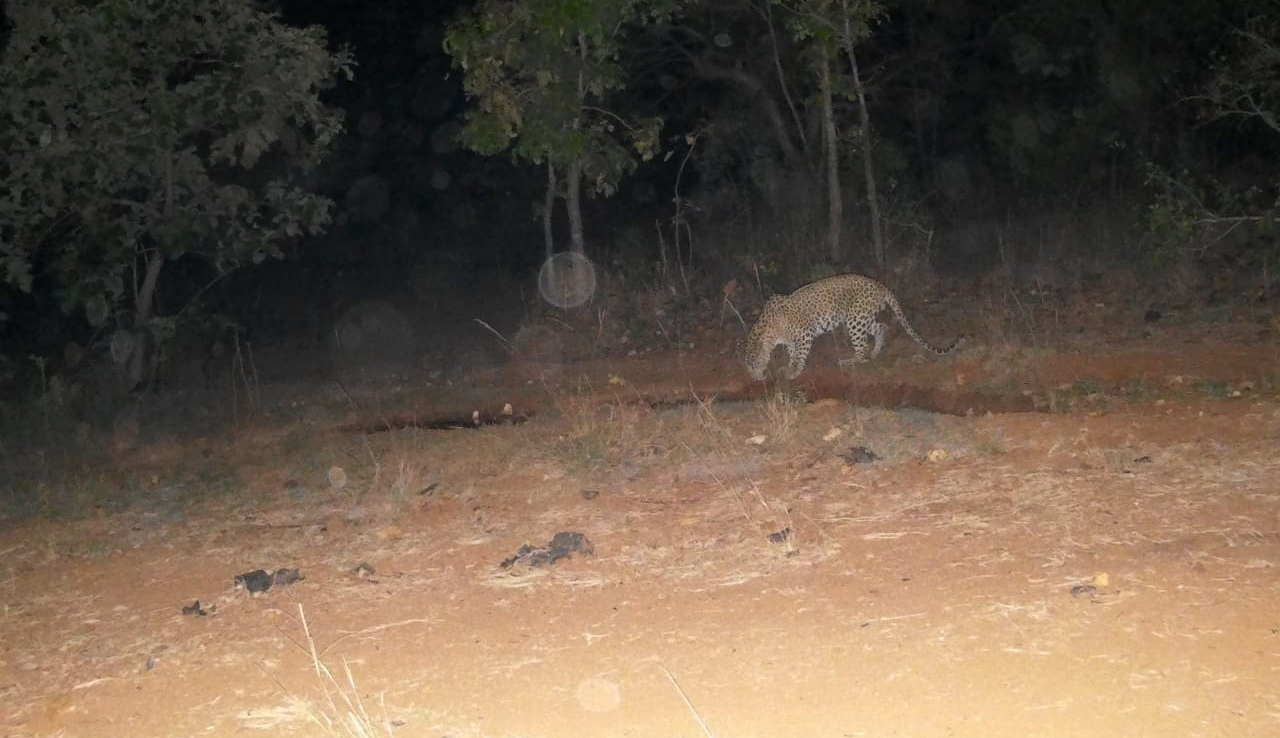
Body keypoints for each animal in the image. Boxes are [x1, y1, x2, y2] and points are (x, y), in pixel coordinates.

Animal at [738, 273, 964, 380]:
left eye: (752, 364)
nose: (754, 378)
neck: (769, 331)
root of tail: (880, 285)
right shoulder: (792, 340)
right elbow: (793, 353)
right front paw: (788, 367)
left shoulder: (804, 335)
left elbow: (800, 356)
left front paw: (794, 372)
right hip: (862, 318)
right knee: (881, 327)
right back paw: (875, 353)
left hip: (854, 320)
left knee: (862, 348)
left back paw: (851, 361)